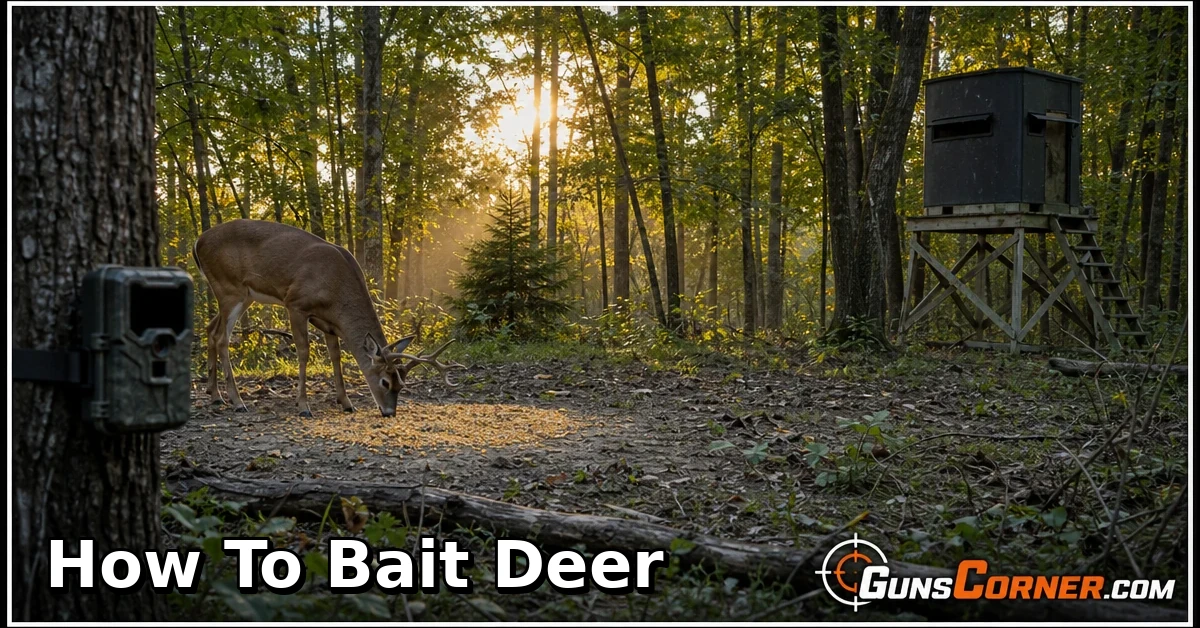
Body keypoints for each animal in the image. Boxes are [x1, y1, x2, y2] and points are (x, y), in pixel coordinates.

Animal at [192, 219, 464, 417]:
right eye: (385, 382)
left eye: (402, 385)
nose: (389, 412)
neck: (336, 289)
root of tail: (198, 242)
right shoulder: (296, 303)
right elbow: (304, 352)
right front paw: (303, 406)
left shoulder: (329, 322)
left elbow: (336, 356)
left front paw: (346, 402)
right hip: (230, 288)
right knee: (221, 337)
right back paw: (237, 401)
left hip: (241, 295)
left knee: (210, 328)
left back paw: (214, 395)